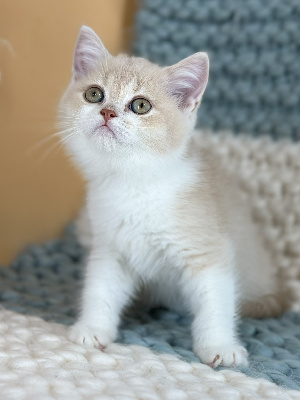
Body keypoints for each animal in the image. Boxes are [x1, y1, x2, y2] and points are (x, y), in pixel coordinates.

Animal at [58, 25, 286, 368]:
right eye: (94, 94)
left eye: (140, 105)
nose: (107, 112)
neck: (135, 184)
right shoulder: (111, 247)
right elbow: (101, 288)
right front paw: (93, 328)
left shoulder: (208, 251)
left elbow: (215, 301)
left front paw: (219, 346)